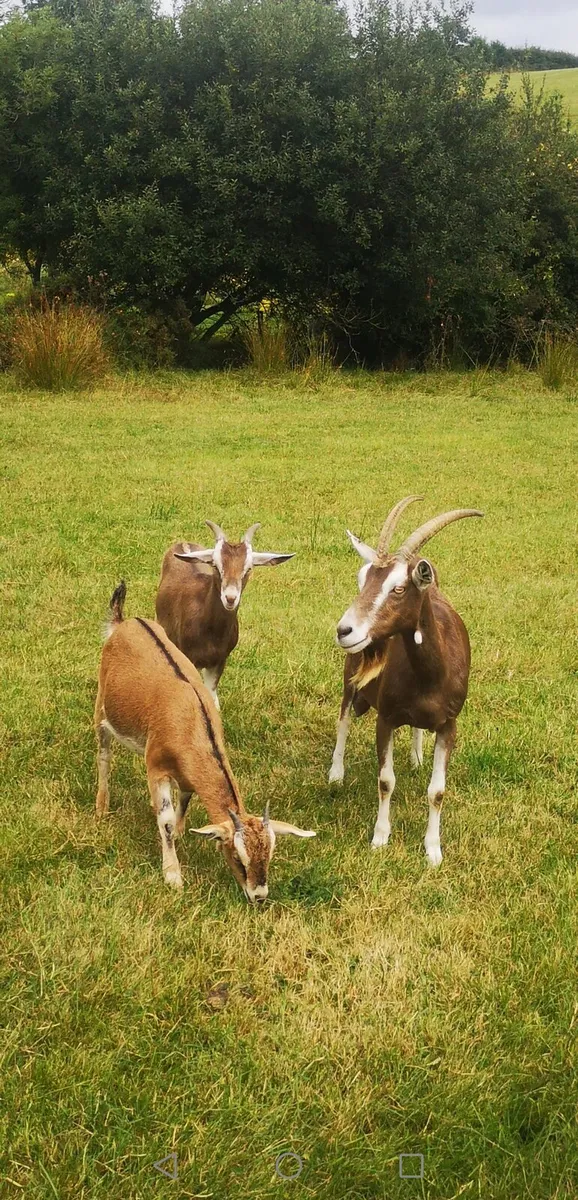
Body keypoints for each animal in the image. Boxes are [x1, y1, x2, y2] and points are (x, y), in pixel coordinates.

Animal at [95, 582, 315, 901]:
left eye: (270, 855)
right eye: (238, 856)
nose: (259, 896)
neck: (191, 723)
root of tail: (124, 623)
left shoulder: (187, 770)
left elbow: (185, 798)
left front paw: (183, 831)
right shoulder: (156, 765)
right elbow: (164, 821)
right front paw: (173, 874)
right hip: (101, 707)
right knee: (103, 755)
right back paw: (101, 807)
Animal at [155, 521, 294, 709]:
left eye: (248, 568)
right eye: (215, 565)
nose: (230, 598)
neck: (210, 634)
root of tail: (183, 543)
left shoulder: (220, 660)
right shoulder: (188, 656)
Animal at [329, 497, 483, 866]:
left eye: (399, 588)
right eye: (362, 579)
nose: (345, 630)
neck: (430, 678)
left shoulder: (449, 724)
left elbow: (437, 791)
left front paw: (433, 851)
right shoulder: (385, 718)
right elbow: (386, 781)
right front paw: (380, 838)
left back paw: (415, 756)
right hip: (351, 678)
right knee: (343, 717)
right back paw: (336, 772)